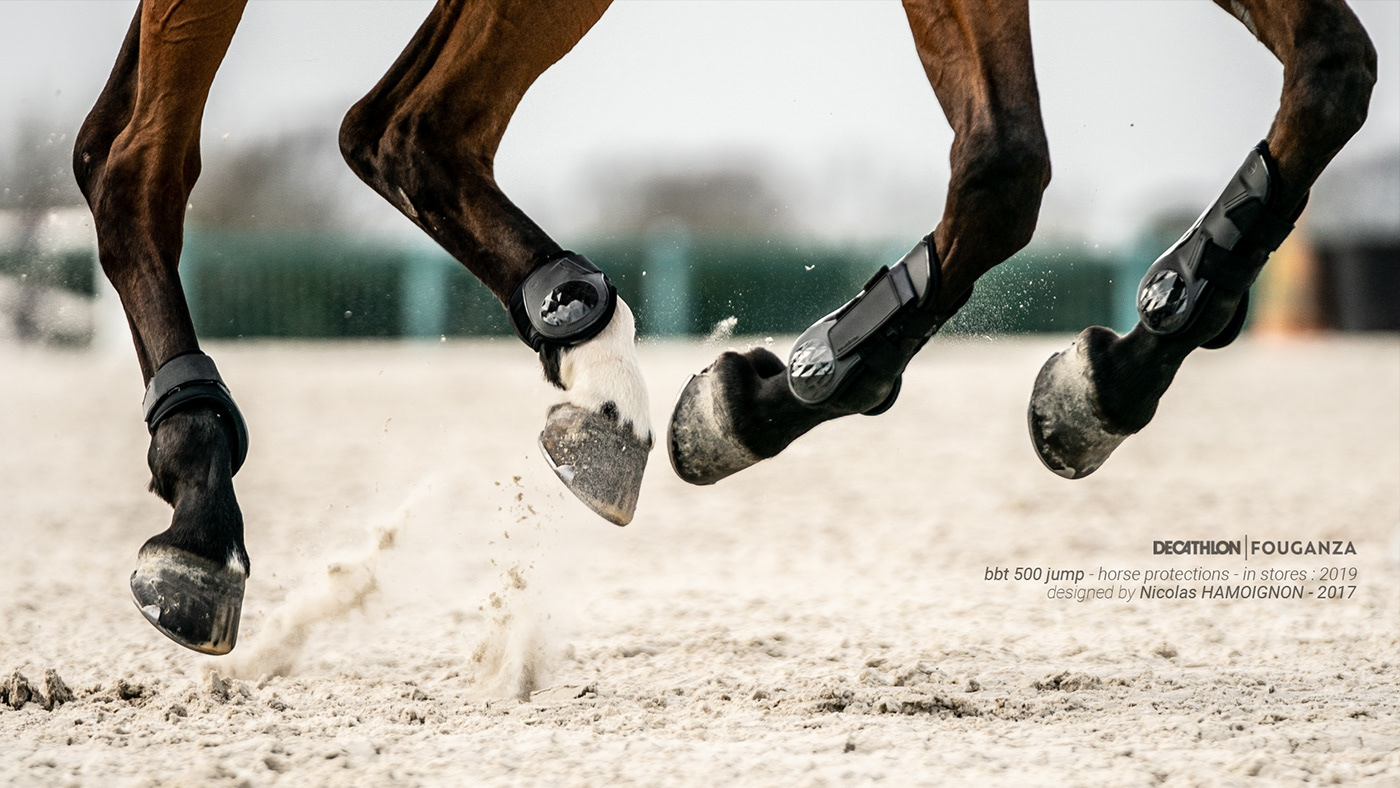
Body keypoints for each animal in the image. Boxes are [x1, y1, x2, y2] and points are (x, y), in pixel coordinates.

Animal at [73, 0, 1375, 654]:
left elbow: (1332, 66)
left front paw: (1134, 355)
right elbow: (1007, 162)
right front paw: (784, 389)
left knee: (404, 128)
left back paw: (598, 378)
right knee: (141, 160)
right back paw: (199, 501)